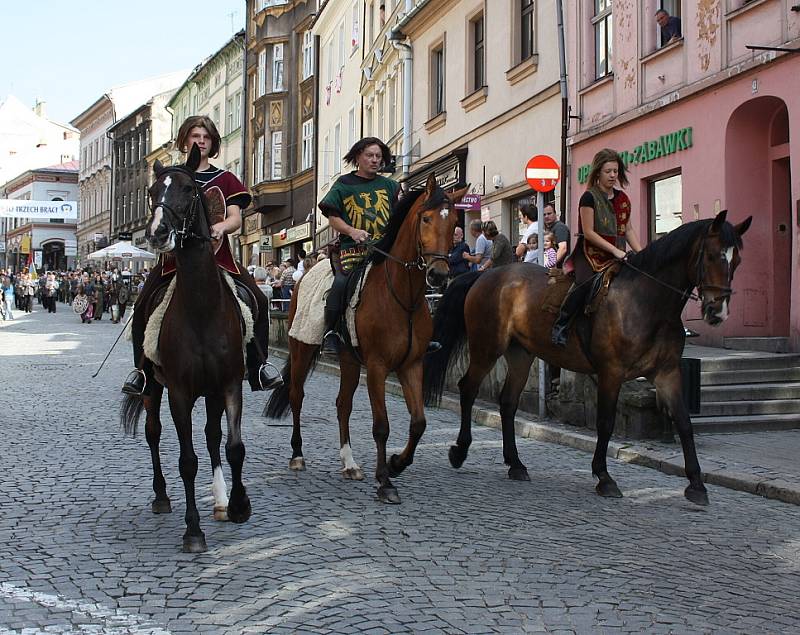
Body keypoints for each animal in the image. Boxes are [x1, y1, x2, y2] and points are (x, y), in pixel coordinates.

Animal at [118, 147, 250, 556]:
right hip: (152, 386)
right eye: (151, 192)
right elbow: (187, 460)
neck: (202, 309)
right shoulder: (178, 392)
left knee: (212, 436)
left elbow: (233, 446)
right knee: (153, 432)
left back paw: (220, 500)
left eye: (190, 189)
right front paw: (193, 531)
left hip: (211, 392)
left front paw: (238, 505)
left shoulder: (229, 385)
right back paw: (161, 496)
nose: (158, 233)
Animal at [266, 176, 466, 504]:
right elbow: (381, 426)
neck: (402, 298)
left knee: (342, 404)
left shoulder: (411, 365)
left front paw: (397, 463)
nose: (438, 275)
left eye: (454, 224)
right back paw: (297, 455)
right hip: (302, 348)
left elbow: (419, 423)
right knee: (297, 395)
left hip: (348, 358)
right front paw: (385, 480)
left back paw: (349, 464)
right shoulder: (376, 367)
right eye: (426, 218)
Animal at [424, 212, 752, 506]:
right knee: (468, 388)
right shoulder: (611, 372)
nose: (717, 311)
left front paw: (696, 484)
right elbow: (605, 422)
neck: (647, 302)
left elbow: (684, 422)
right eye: (712, 256)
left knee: (507, 402)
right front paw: (604, 477)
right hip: (487, 347)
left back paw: (515, 464)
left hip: (521, 354)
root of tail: (485, 274)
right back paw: (460, 451)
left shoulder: (667, 372)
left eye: (736, 261)